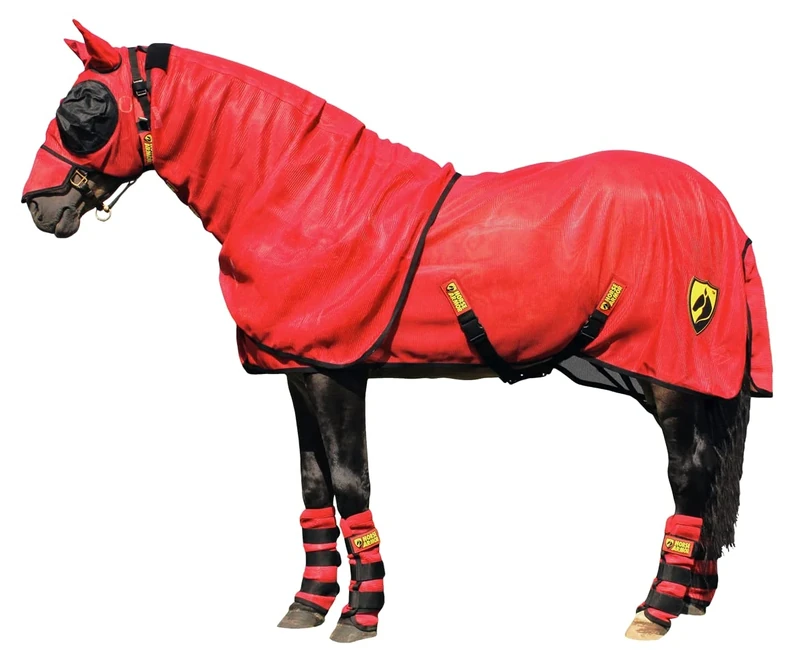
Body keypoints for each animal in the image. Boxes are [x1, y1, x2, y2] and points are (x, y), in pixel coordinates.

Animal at [21, 21, 773, 644]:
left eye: (84, 106)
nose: (39, 206)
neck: (307, 196)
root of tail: (722, 211)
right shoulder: (297, 369)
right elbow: (312, 483)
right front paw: (306, 604)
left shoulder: (337, 374)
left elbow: (350, 481)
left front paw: (360, 616)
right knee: (708, 475)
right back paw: (692, 600)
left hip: (668, 374)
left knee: (689, 473)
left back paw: (655, 612)